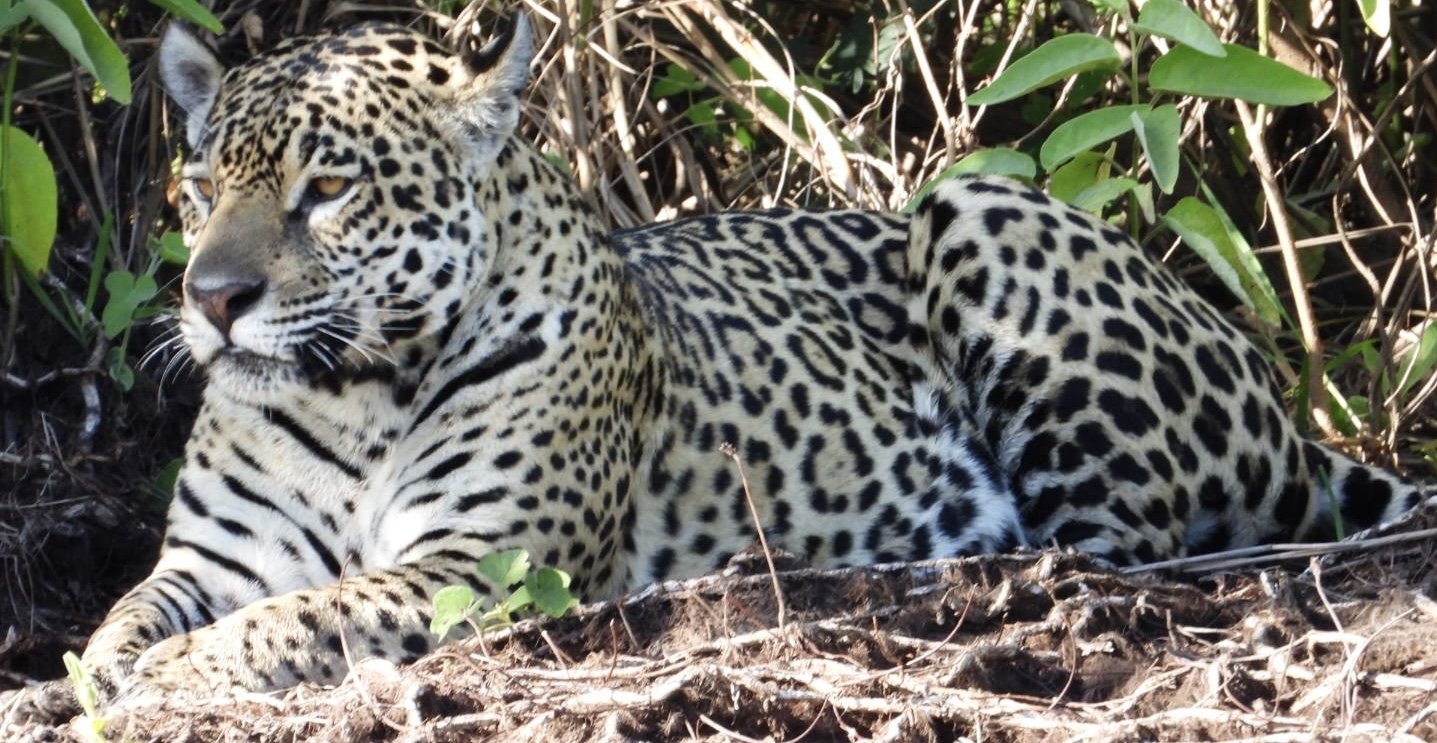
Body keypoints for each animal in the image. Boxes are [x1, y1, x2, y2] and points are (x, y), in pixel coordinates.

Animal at [38, 10, 1430, 706]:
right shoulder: (219, 556)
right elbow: (125, 614)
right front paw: (78, 680)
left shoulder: (487, 559)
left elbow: (298, 617)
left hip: (982, 208)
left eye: (327, 189)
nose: (213, 299)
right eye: (199, 187)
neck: (351, 394)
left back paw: (917, 566)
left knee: (1125, 548)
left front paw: (172, 681)